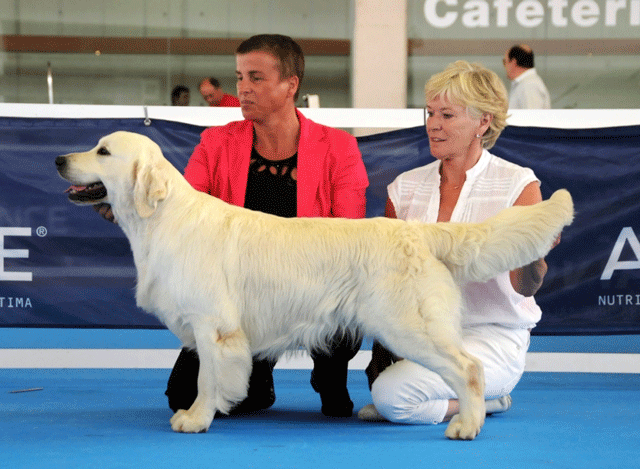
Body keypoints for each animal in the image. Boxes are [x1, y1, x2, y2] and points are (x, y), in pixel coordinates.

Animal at [56, 131, 576, 438]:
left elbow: (206, 378)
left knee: (468, 368)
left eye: (103, 151)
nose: (60, 158)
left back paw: (467, 425)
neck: (160, 220)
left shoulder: (213, 326)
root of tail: (418, 232)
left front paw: (197, 418)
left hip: (410, 326)